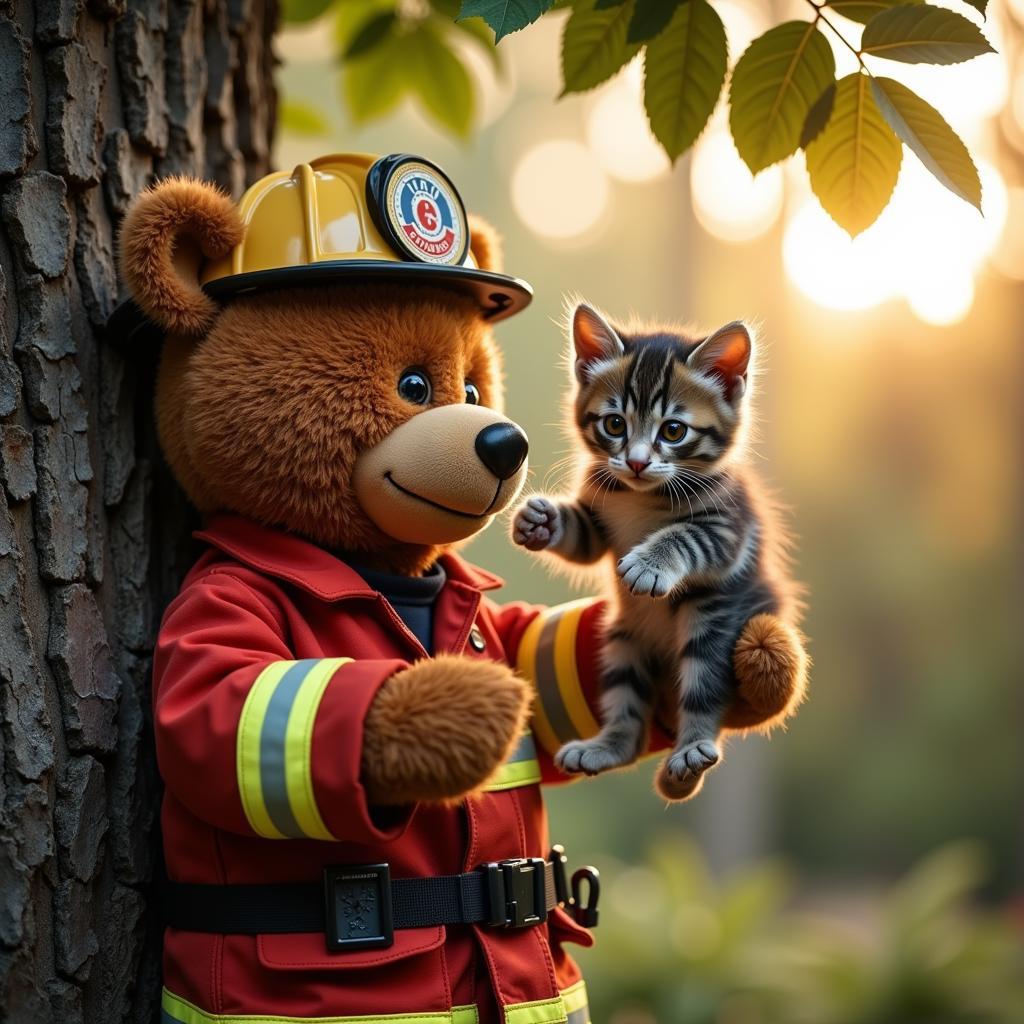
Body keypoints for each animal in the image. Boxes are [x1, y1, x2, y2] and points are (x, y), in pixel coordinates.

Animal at [516, 303, 794, 798]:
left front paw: (649, 563)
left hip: (715, 622)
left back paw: (690, 753)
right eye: (614, 424)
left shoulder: (728, 528)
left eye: (674, 431)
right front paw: (543, 521)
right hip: (622, 636)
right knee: (629, 706)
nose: (637, 461)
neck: (639, 496)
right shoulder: (600, 517)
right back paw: (607, 747)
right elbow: (583, 538)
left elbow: (684, 535)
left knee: (703, 689)